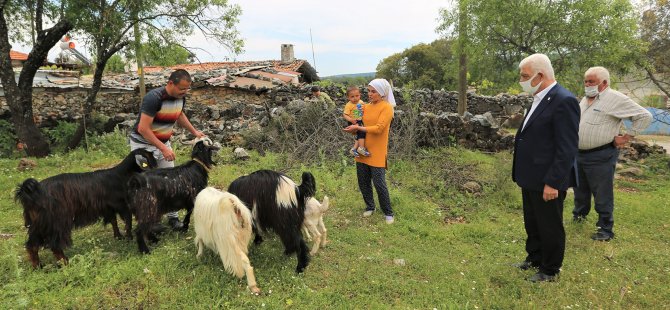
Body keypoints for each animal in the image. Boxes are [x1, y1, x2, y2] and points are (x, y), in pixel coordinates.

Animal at [15, 147, 157, 266]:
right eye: (149, 156)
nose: (156, 163)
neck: (121, 175)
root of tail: (31, 192)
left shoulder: (109, 208)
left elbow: (113, 221)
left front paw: (119, 237)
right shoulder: (123, 205)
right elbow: (128, 222)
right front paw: (129, 238)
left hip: (39, 223)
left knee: (32, 245)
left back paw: (38, 266)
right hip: (57, 221)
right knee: (54, 245)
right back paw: (65, 262)